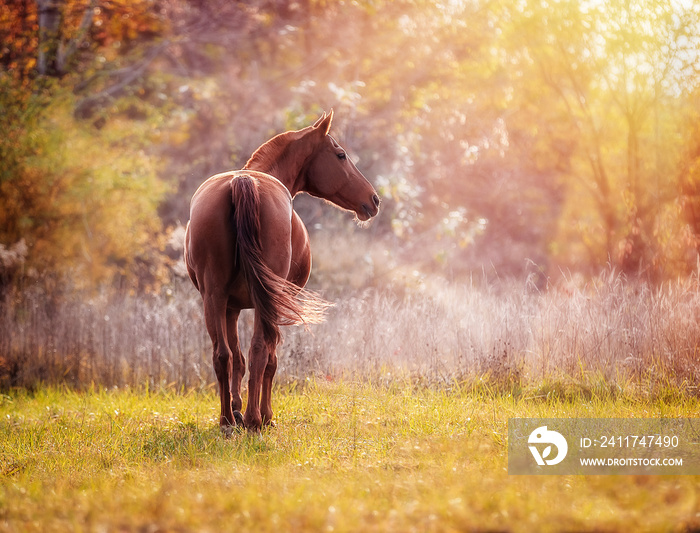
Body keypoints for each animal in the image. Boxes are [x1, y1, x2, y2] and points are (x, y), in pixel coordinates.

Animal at [183, 110, 380, 430]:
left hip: (214, 297)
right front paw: (264, 414)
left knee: (223, 355)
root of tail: (244, 181)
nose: (374, 200)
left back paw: (227, 420)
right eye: (340, 155)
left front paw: (236, 408)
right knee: (261, 351)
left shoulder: (230, 307)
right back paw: (255, 419)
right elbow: (270, 358)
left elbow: (236, 358)